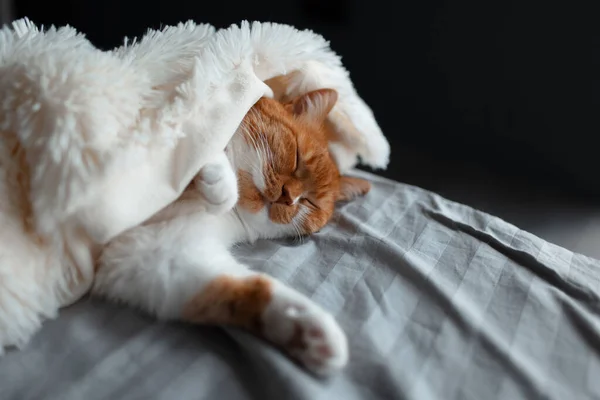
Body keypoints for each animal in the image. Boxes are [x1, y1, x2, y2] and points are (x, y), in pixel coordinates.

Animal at [93, 87, 370, 376]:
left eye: (309, 202)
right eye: (296, 157)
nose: (288, 198)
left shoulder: (156, 253)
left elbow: (246, 288)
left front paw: (307, 328)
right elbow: (195, 150)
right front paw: (219, 174)